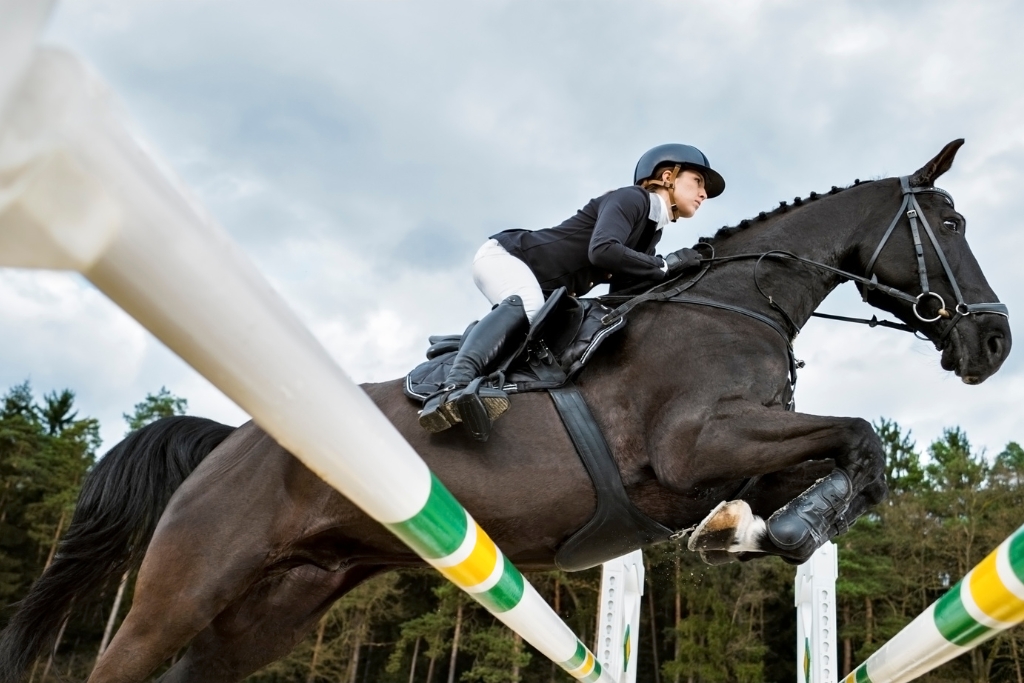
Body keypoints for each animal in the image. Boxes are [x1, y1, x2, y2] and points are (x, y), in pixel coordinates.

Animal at [0, 140, 1007, 683]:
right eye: (953, 223)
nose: (994, 342)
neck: (738, 302)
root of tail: (229, 437)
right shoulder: (695, 444)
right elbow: (863, 439)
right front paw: (792, 529)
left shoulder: (730, 456)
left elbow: (835, 463)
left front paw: (751, 533)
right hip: (188, 581)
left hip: (278, 601)